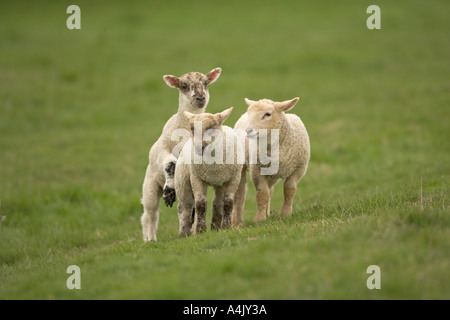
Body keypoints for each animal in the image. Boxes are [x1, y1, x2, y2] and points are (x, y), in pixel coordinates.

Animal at [139, 68, 220, 242]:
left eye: (205, 83)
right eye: (184, 85)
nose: (200, 98)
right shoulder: (163, 149)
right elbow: (170, 164)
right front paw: (169, 193)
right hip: (150, 184)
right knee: (150, 214)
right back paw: (149, 239)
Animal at [232, 97, 310, 225]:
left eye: (267, 114)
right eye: (250, 113)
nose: (248, 131)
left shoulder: (299, 168)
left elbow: (289, 189)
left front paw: (285, 214)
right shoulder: (256, 170)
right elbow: (262, 194)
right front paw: (260, 219)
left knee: (270, 190)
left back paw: (267, 213)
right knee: (240, 194)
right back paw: (237, 222)